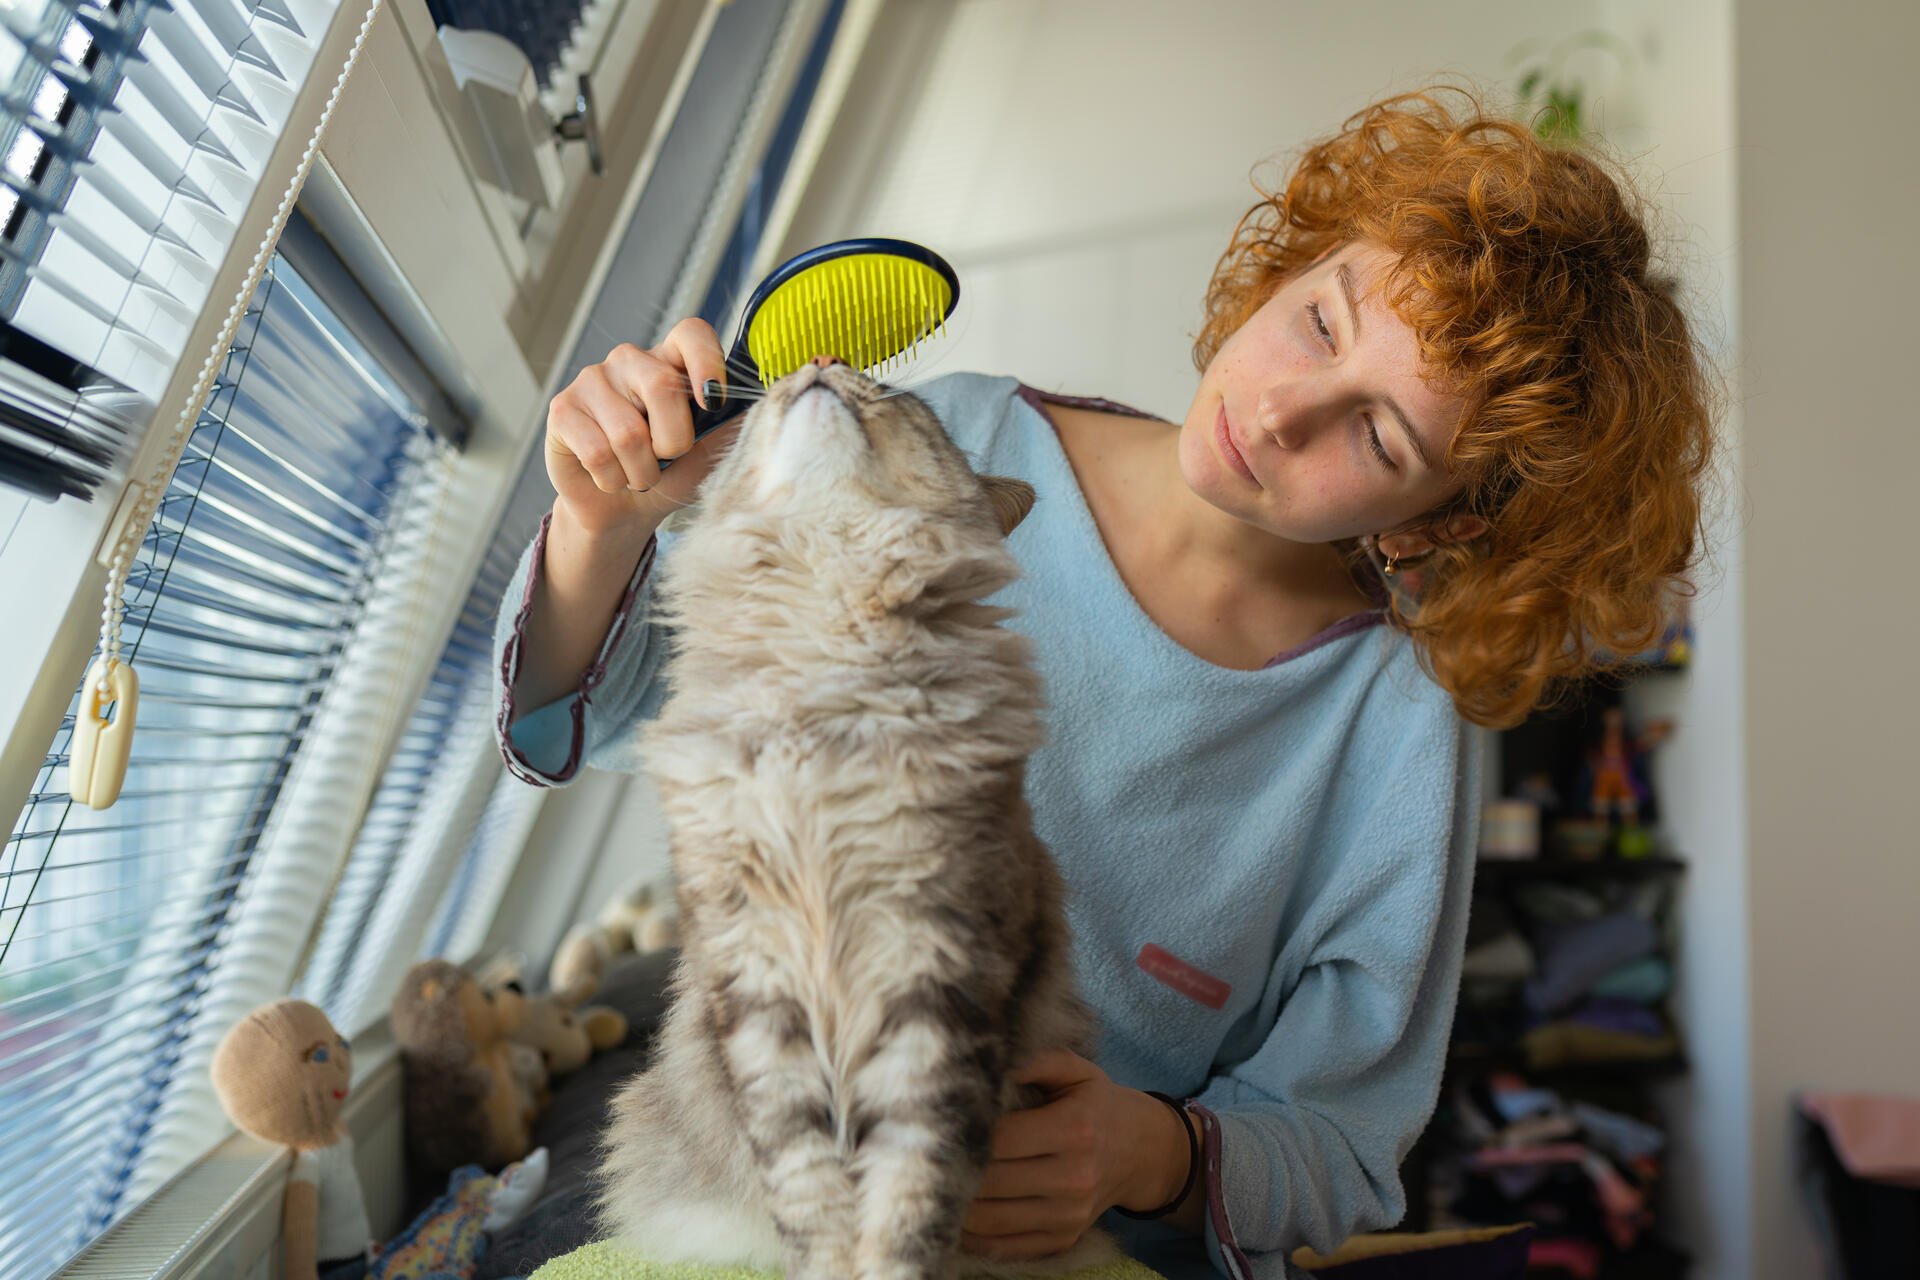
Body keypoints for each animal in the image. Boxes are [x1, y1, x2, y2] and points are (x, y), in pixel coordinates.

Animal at [595, 360, 1113, 1280]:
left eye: (896, 395)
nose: (822, 368)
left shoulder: (933, 973)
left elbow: (908, 1198)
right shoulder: (759, 989)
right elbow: (809, 1192)